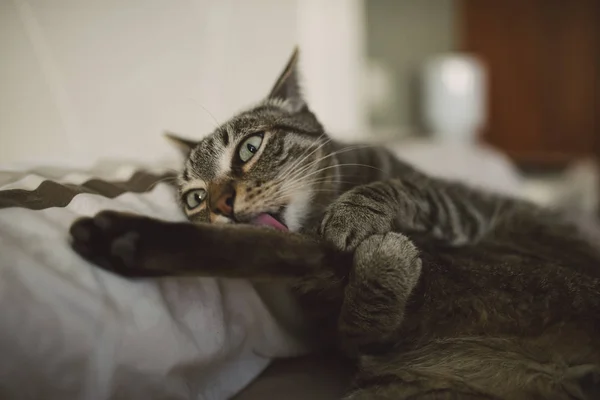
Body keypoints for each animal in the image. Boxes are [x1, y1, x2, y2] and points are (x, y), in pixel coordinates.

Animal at [69, 48, 600, 398]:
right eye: (196, 196)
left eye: (249, 147)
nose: (220, 206)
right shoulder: (360, 333)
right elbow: (354, 315)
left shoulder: (460, 209)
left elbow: (403, 190)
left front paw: (354, 213)